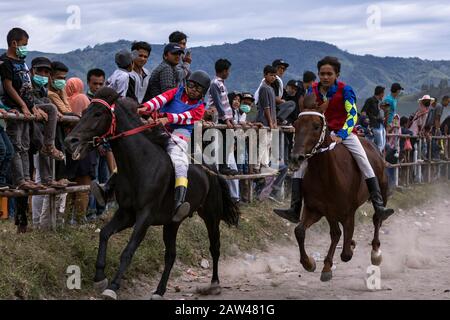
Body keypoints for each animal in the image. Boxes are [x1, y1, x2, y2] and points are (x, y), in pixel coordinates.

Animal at [64, 87, 239, 300]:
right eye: (84, 112)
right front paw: (99, 277)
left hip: (211, 215)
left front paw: (112, 286)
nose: (70, 141)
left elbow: (128, 250)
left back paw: (214, 284)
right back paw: (159, 290)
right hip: (171, 223)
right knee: (171, 255)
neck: (140, 164)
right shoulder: (127, 213)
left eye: (98, 113)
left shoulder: (145, 216)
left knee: (214, 247)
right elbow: (104, 234)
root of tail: (211, 169)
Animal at [288, 96, 390, 282]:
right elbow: (300, 231)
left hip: (383, 192)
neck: (326, 176)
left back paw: (375, 252)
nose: (296, 157)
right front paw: (310, 263)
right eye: (296, 124)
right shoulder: (317, 209)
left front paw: (333, 260)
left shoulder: (346, 212)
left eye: (316, 126)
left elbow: (344, 250)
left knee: (377, 217)